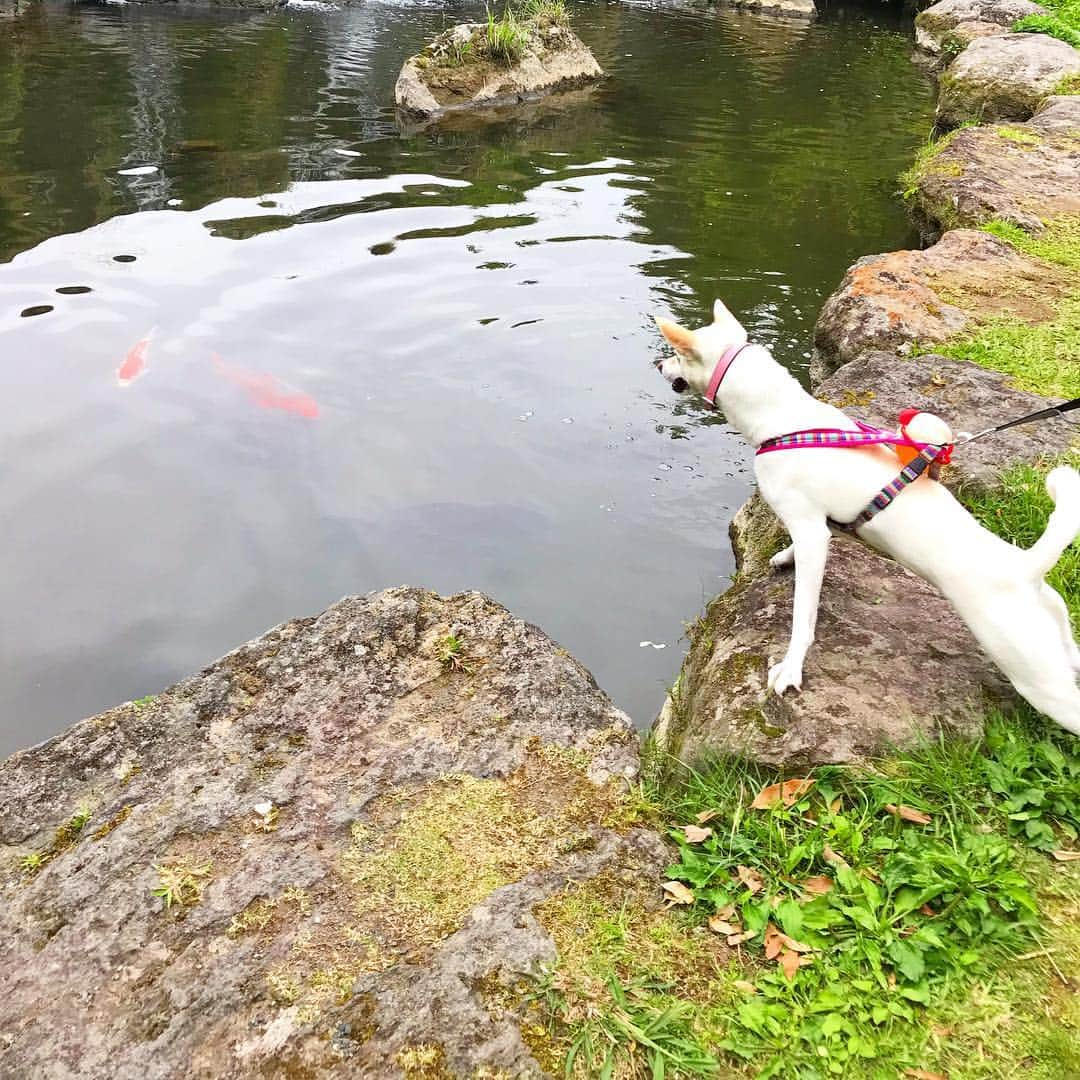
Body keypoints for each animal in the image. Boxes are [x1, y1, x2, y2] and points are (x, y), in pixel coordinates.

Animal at [652, 300, 1080, 738]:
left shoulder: (810, 531)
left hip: (1035, 674)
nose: (658, 364)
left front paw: (791, 667)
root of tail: (1025, 568)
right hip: (1060, 642)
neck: (784, 419)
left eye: (677, 355)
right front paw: (785, 557)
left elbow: (803, 616)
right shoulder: (821, 529)